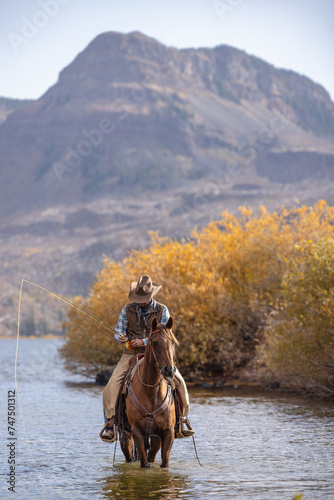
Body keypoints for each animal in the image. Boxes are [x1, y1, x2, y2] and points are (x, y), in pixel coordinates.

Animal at [119, 318, 179, 466]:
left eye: (173, 342)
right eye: (154, 343)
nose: (169, 370)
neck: (152, 392)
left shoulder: (168, 432)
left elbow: (164, 463)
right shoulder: (137, 432)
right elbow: (144, 464)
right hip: (125, 434)